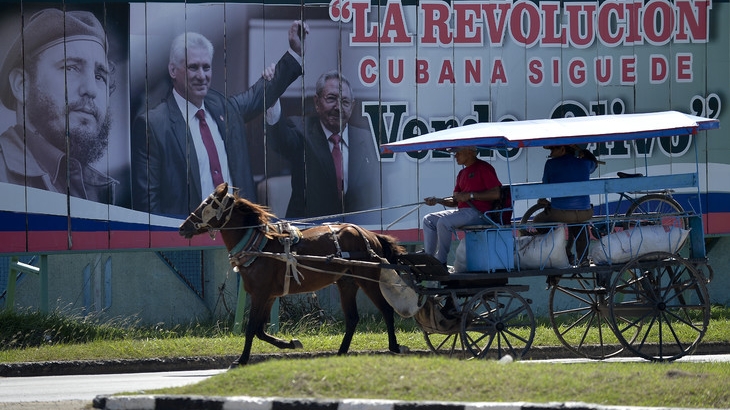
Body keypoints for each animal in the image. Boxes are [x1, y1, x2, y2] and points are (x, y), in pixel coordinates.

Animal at [176, 183, 404, 366]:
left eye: (208, 205)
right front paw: (291, 343)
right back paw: (340, 353)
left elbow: (251, 329)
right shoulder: (268, 296)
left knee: (386, 309)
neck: (260, 246)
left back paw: (394, 347)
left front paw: (241, 360)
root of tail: (370, 235)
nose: (183, 227)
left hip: (368, 278)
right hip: (347, 282)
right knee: (352, 318)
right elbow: (259, 330)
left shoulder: (260, 294)